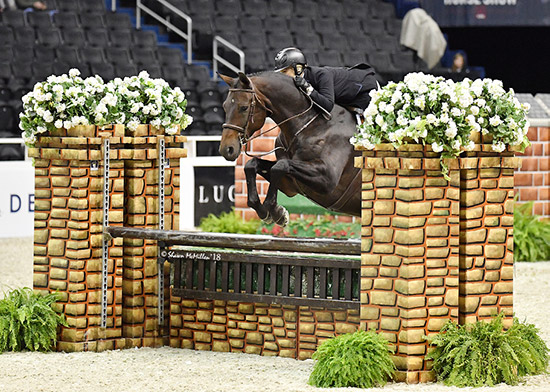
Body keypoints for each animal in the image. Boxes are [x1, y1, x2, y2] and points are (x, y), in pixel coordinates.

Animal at [218, 71, 364, 227]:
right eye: (225, 106)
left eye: (244, 107)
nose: (227, 149)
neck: (309, 123)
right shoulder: (290, 184)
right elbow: (252, 165)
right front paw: (270, 212)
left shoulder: (327, 180)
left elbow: (279, 166)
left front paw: (275, 211)